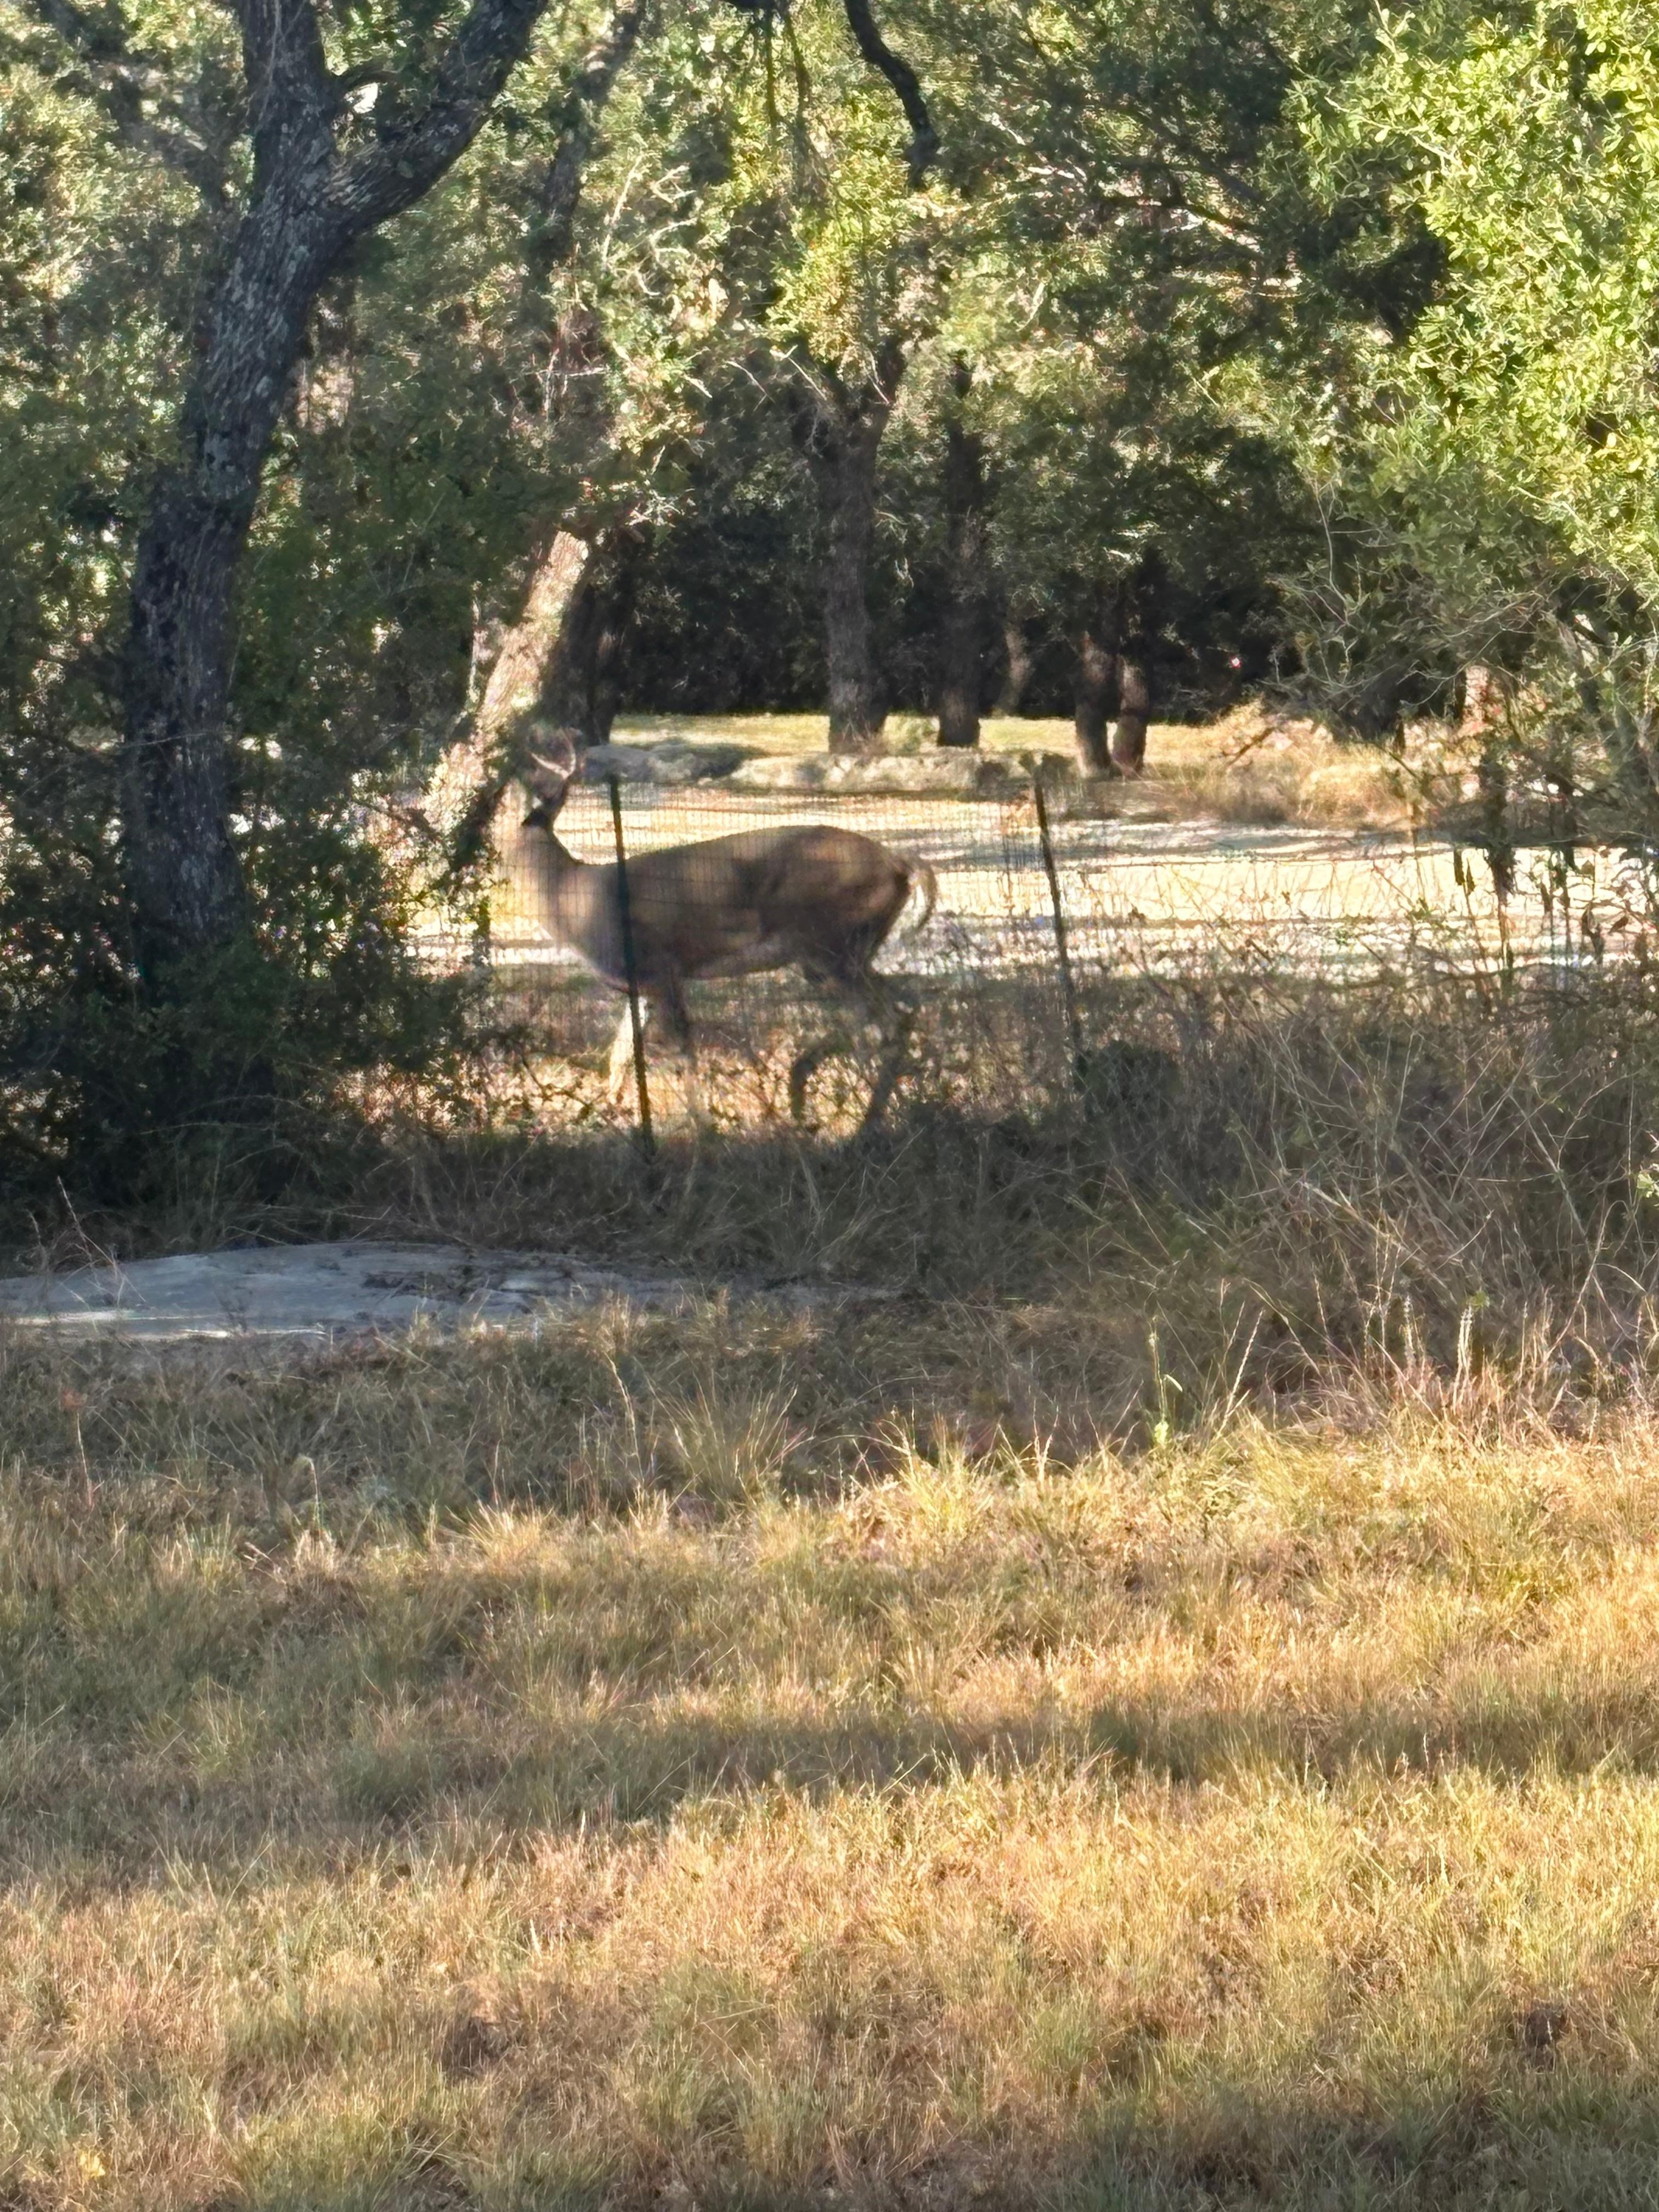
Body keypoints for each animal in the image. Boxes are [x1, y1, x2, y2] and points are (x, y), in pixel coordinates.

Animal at [516, 731, 937, 1128]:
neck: (569, 895)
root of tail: (899, 862)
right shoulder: (639, 984)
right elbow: (621, 1051)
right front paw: (609, 1111)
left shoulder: (659, 968)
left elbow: (679, 1050)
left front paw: (704, 1129)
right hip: (849, 951)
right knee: (902, 1010)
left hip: (831, 944)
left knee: (884, 1023)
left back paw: (853, 1114)